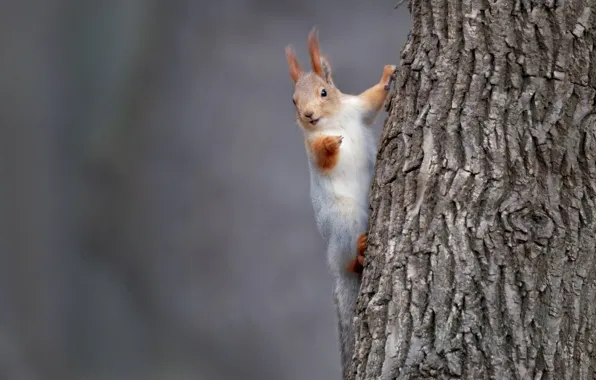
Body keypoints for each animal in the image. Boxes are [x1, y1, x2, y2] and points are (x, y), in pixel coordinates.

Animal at [286, 28, 396, 378]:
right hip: (343, 221)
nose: (308, 116)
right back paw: (359, 250)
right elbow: (323, 156)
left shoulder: (357, 107)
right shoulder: (310, 149)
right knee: (349, 260)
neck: (333, 120)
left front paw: (388, 74)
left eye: (324, 91)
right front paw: (332, 143)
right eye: (293, 100)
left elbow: (373, 100)